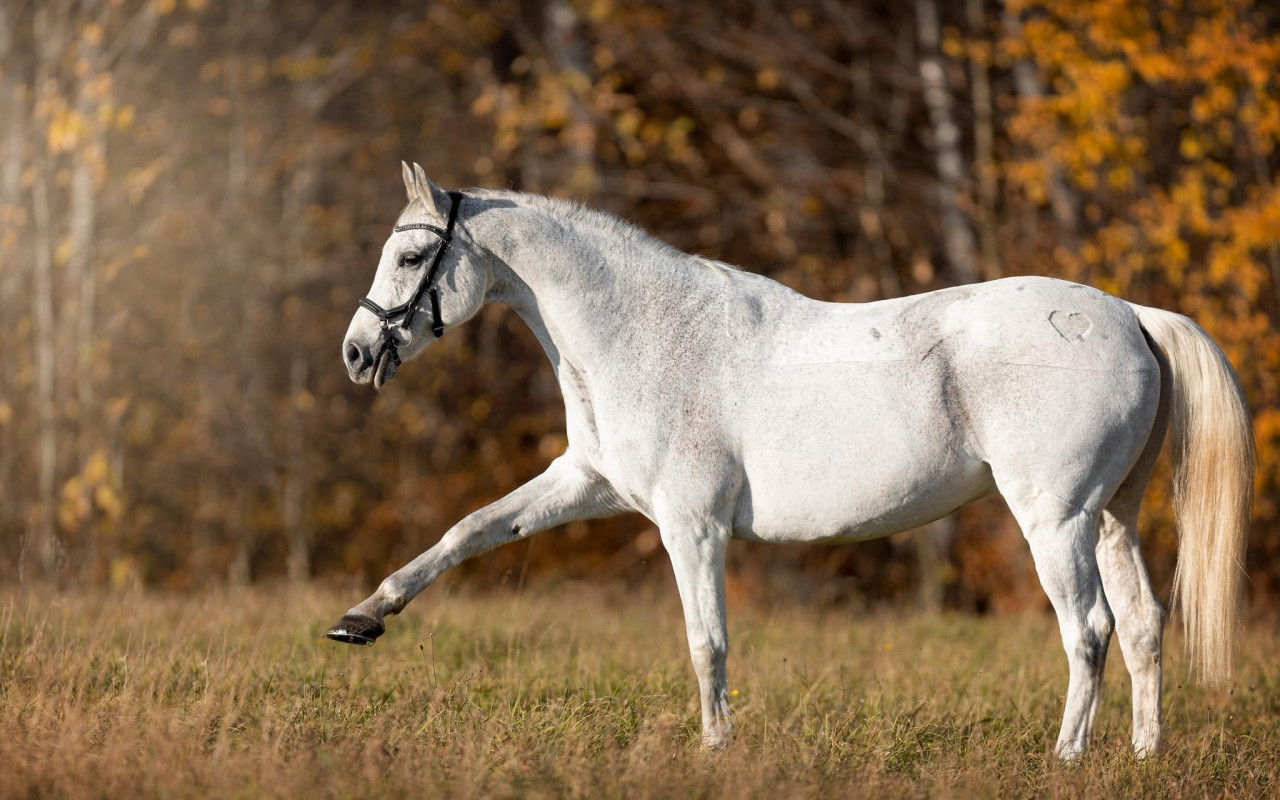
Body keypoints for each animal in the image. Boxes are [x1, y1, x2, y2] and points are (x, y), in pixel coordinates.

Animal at [325, 162, 1254, 752]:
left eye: (412, 254)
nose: (357, 353)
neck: (648, 333)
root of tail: (1128, 313)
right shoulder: (585, 483)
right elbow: (468, 531)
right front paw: (362, 617)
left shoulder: (692, 528)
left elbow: (707, 643)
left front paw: (715, 751)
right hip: (1110, 518)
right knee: (1143, 625)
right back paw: (1141, 756)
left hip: (1054, 521)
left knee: (1088, 630)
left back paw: (1066, 758)